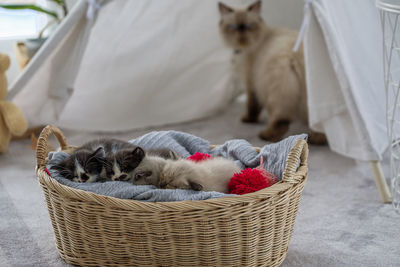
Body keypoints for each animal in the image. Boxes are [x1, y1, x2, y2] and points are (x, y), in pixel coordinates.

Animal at [219, 1, 324, 146]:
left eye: (249, 25)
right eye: (233, 27)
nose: (242, 39)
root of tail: (297, 56)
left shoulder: (251, 82)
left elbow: (252, 105)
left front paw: (247, 119)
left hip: (272, 94)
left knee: (281, 122)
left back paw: (265, 136)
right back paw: (317, 139)